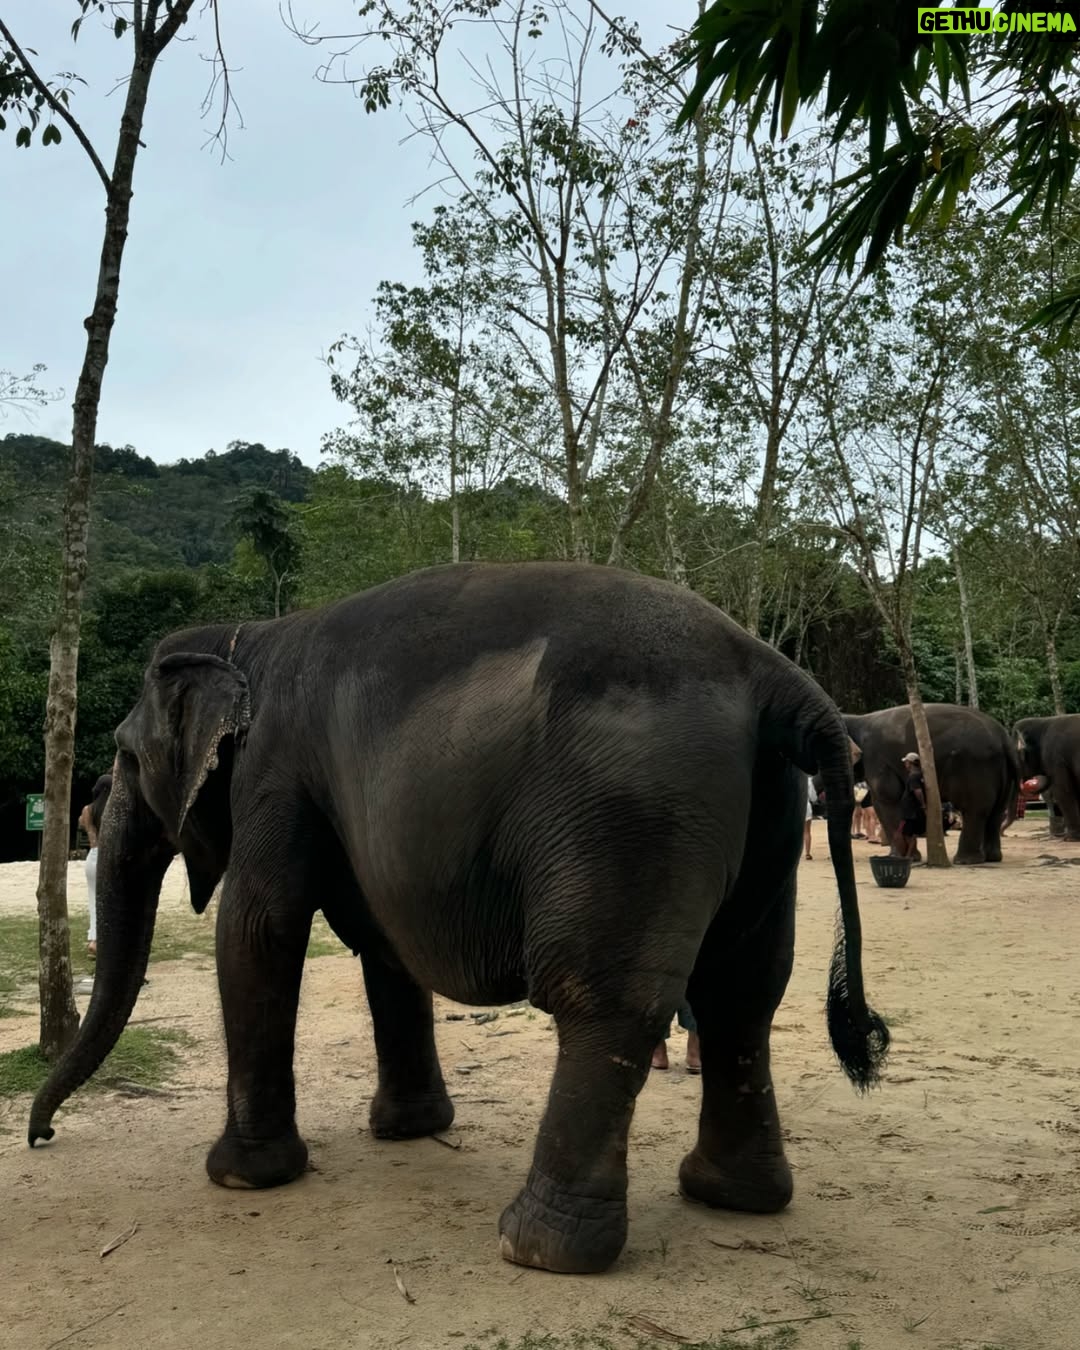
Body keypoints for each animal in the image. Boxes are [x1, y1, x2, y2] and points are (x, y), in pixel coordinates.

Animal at [28, 561, 888, 1276]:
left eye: (125, 757)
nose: (41, 1137)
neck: (247, 636)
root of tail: (774, 673)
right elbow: (382, 945)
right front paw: (408, 1130)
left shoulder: (276, 768)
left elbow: (258, 926)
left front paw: (242, 1178)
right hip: (770, 809)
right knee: (743, 993)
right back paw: (730, 1197)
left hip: (631, 808)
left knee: (605, 998)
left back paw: (537, 1248)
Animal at [844, 704, 1019, 865]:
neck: (855, 719)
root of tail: (1005, 739)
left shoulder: (877, 761)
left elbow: (887, 799)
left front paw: (898, 857)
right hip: (1002, 772)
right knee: (997, 811)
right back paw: (991, 858)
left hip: (976, 768)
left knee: (975, 811)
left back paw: (965, 861)